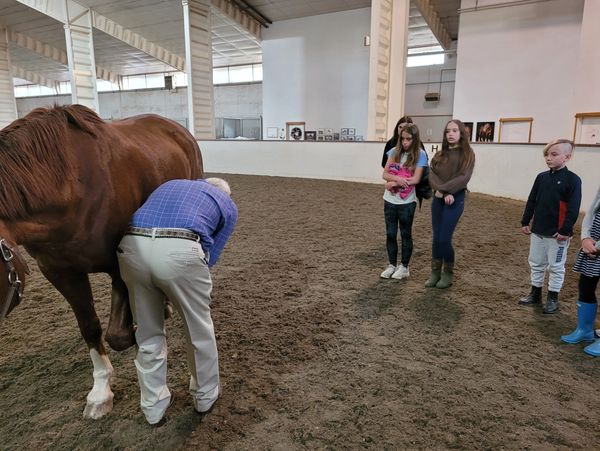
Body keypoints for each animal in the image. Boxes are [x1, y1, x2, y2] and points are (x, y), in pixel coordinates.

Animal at [0, 104, 203, 418]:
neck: (69, 186)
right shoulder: (60, 272)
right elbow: (90, 326)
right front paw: (100, 392)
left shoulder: (121, 264)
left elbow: (120, 335)